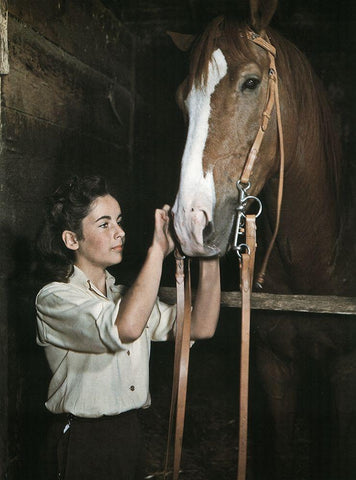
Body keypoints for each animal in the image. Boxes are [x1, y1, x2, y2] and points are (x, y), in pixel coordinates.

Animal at [169, 1, 356, 478]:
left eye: (251, 82)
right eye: (182, 99)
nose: (189, 224)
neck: (314, 255)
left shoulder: (345, 370)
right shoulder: (274, 366)